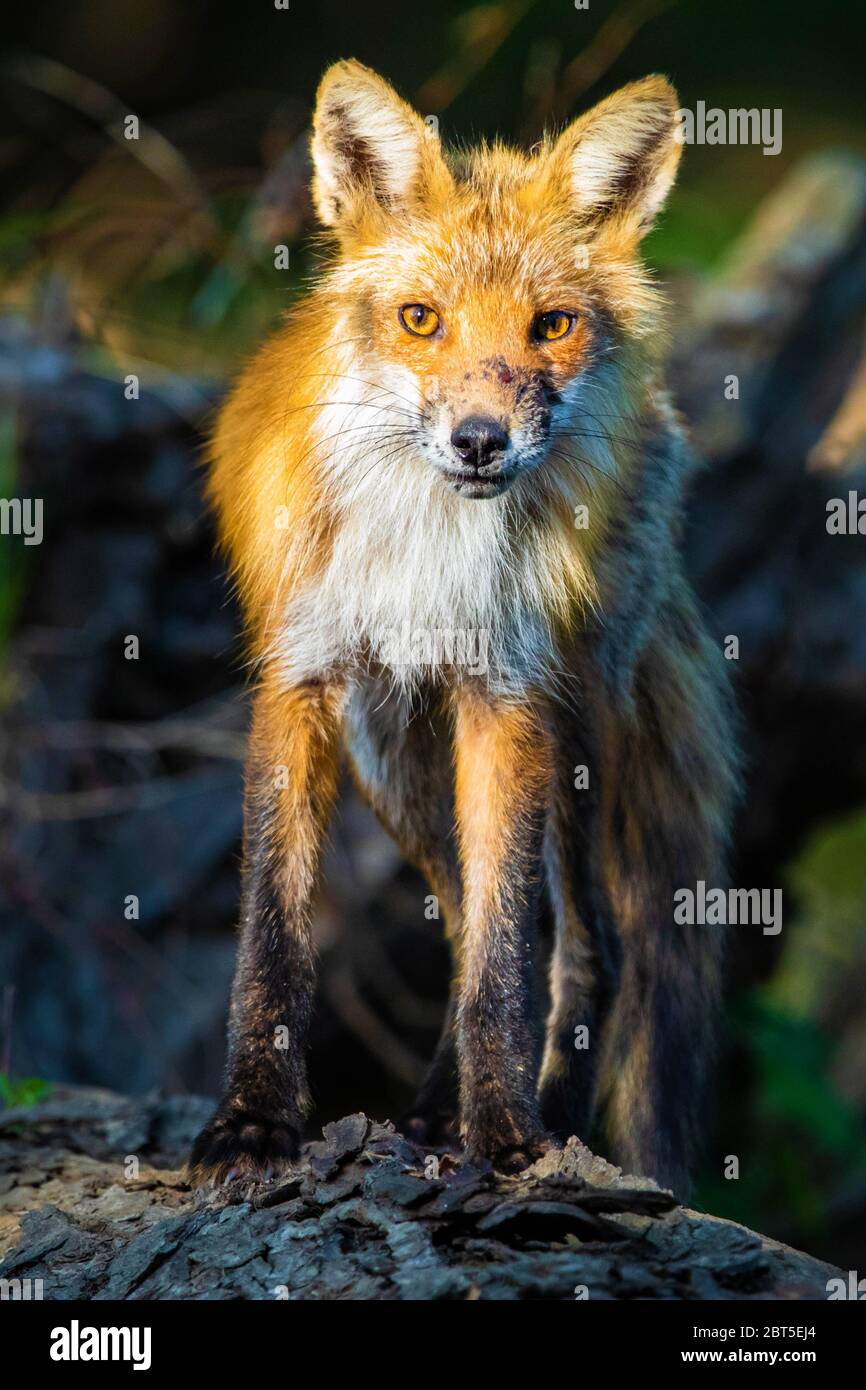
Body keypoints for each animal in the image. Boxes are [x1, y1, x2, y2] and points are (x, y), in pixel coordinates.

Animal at [189, 59, 739, 1197]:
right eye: (419, 319)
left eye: (551, 327)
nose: (479, 441)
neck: (427, 548)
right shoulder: (301, 680)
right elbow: (275, 932)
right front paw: (252, 1123)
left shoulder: (508, 694)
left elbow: (504, 954)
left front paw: (505, 1132)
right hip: (390, 756)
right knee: (458, 907)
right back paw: (435, 1105)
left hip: (578, 723)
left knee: (585, 943)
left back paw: (543, 1116)